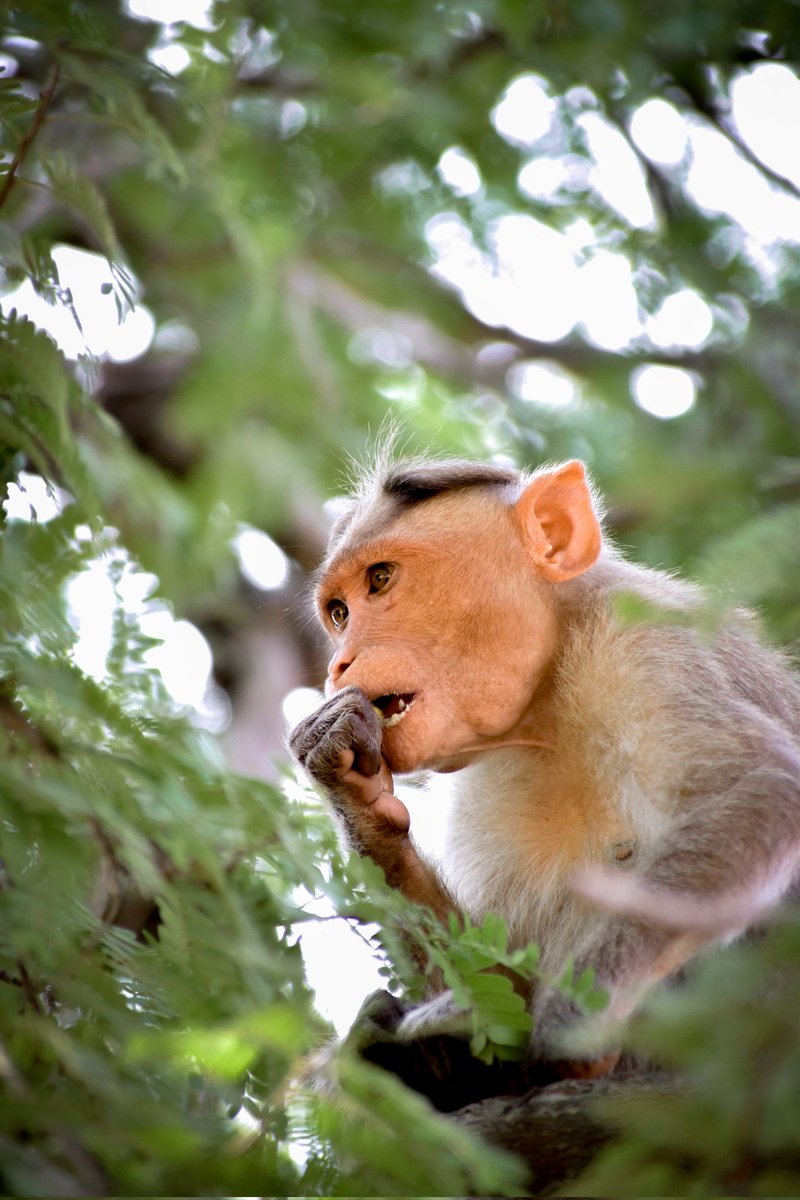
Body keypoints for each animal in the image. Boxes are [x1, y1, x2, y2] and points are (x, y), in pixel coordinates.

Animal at [290, 454, 800, 1108]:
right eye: (339, 612)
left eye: (379, 580)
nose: (339, 665)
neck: (548, 704)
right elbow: (502, 984)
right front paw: (351, 786)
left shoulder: (642, 642)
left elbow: (761, 791)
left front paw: (570, 1020)